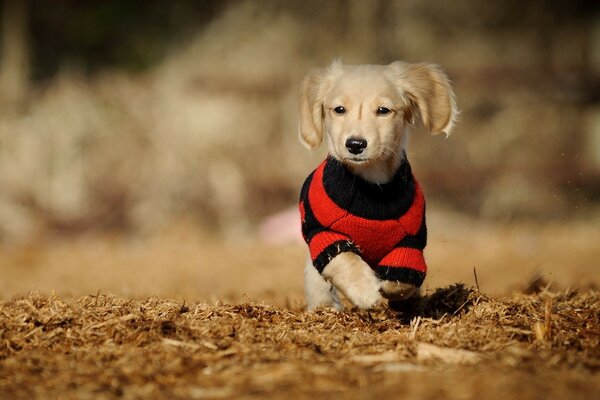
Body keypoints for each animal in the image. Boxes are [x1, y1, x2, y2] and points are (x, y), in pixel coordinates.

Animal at [298, 60, 458, 310]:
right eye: (339, 109)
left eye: (383, 110)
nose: (355, 144)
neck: (370, 188)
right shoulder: (322, 233)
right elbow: (346, 259)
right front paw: (364, 290)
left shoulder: (411, 239)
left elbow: (405, 274)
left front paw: (391, 286)